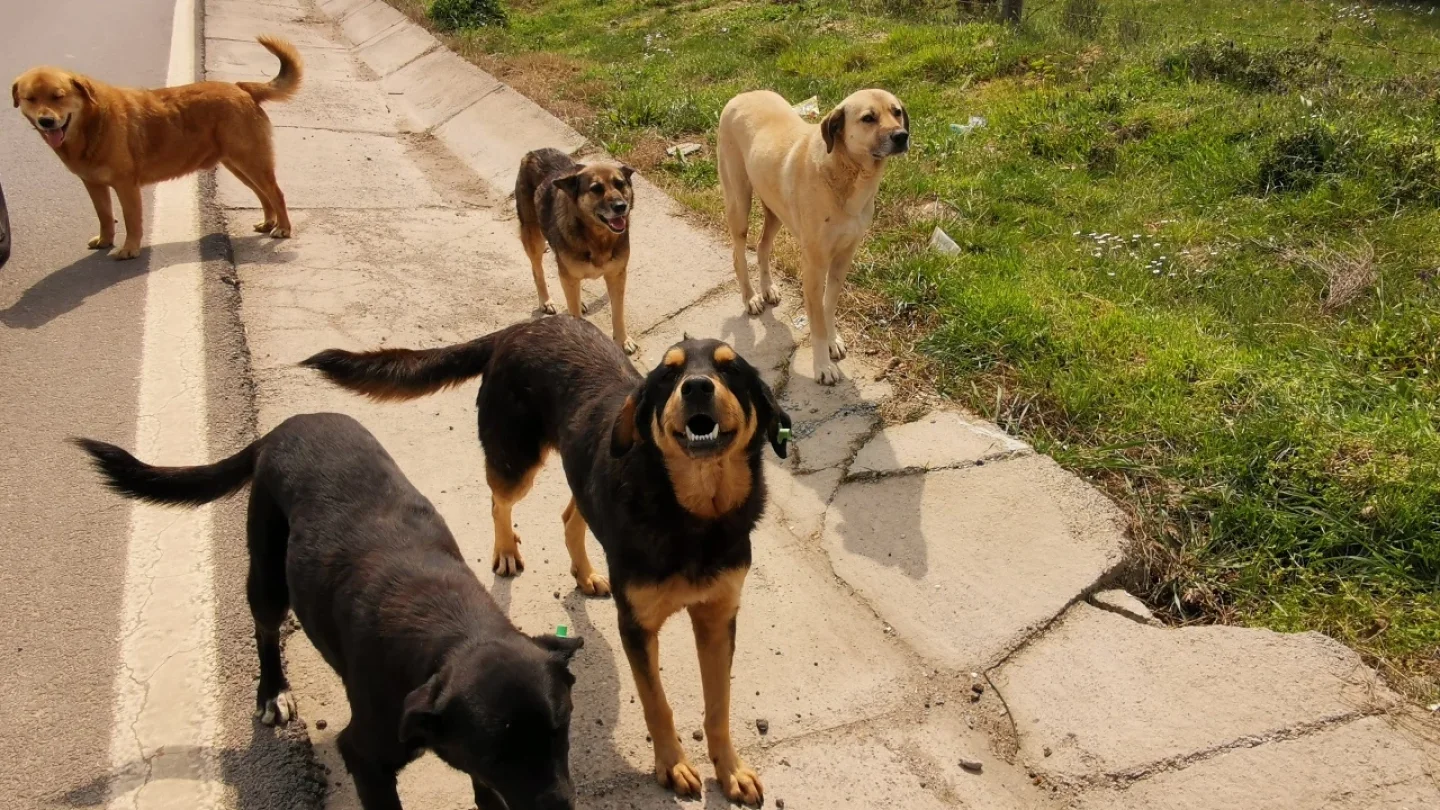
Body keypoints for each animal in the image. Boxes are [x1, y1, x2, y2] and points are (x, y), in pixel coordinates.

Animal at [11, 36, 300, 256]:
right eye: (30, 98)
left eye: (58, 96)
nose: (46, 121)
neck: (93, 123)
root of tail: (242, 88)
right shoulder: (93, 185)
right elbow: (104, 215)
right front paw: (106, 240)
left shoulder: (126, 186)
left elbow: (131, 220)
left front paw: (129, 249)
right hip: (238, 165)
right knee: (263, 195)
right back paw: (268, 222)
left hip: (250, 161)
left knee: (276, 193)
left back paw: (283, 228)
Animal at [303, 314, 794, 801]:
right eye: (667, 375)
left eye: (730, 369)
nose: (696, 387)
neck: (695, 515)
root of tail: (520, 326)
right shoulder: (636, 626)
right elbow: (658, 704)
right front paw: (672, 764)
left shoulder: (718, 617)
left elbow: (719, 706)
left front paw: (730, 769)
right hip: (515, 463)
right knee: (499, 500)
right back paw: (505, 549)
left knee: (571, 511)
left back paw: (586, 572)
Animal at [512, 147, 636, 353]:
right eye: (596, 189)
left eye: (620, 184)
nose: (621, 207)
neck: (598, 236)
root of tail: (534, 152)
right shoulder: (568, 276)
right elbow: (575, 312)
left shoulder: (617, 276)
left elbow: (618, 313)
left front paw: (623, 340)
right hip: (533, 237)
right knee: (537, 270)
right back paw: (545, 301)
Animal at [720, 86, 910, 383]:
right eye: (868, 118)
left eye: (897, 112)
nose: (902, 136)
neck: (846, 174)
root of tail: (742, 94)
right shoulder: (814, 266)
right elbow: (817, 320)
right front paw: (822, 366)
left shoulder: (843, 257)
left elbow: (828, 305)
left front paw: (832, 341)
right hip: (739, 205)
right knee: (738, 254)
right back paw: (750, 297)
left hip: (775, 212)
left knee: (762, 246)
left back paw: (767, 288)